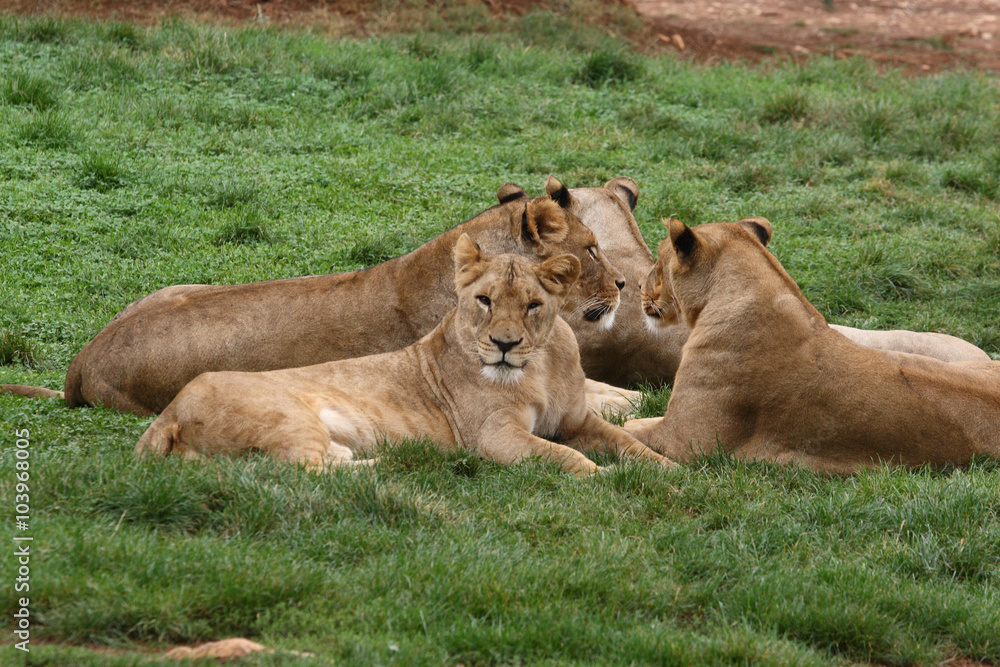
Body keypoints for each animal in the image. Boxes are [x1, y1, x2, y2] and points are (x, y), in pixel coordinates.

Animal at [135, 236, 673, 476]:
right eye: (485, 300)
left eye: (532, 306)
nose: (504, 344)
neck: (537, 365)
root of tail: (169, 413)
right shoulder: (495, 437)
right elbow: (563, 456)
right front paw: (605, 478)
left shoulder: (578, 420)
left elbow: (630, 444)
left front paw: (668, 471)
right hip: (286, 416)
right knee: (302, 470)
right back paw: (404, 463)